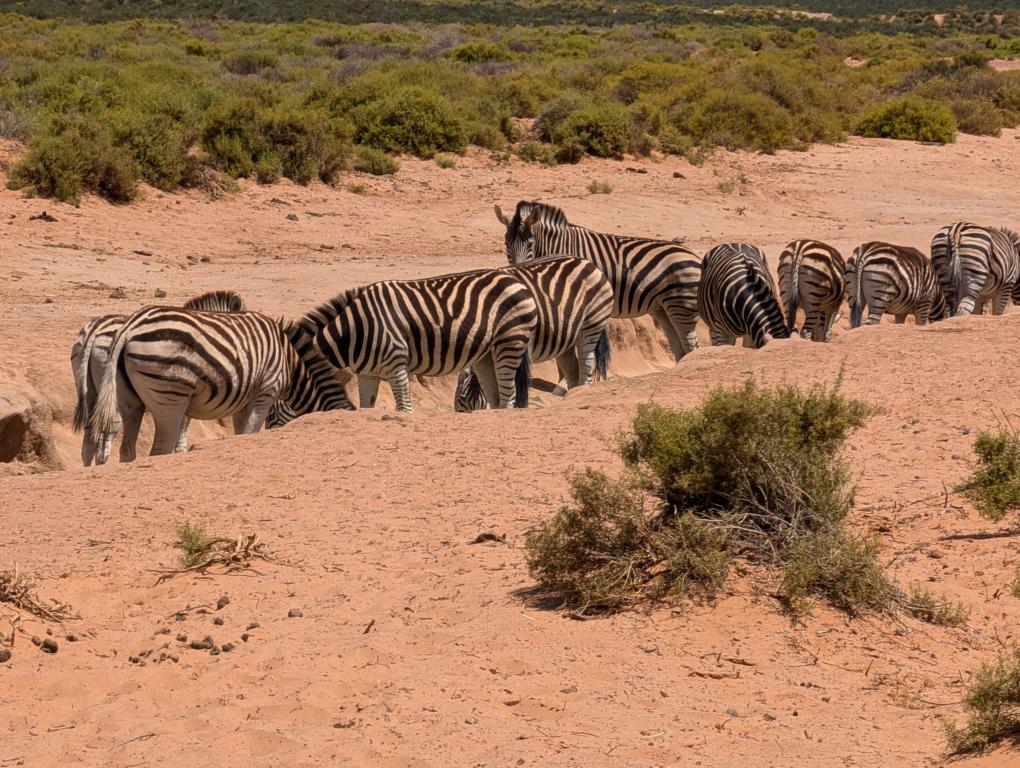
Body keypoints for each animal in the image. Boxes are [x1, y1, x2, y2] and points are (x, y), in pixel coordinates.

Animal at [88, 305, 354, 463]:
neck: (291, 363)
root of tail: (128, 327)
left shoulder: (244, 401)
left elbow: (241, 433)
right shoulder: (265, 394)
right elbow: (250, 432)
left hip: (129, 399)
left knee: (127, 448)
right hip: (170, 397)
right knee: (160, 449)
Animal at [301, 268, 538, 413]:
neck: (357, 329)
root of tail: (516, 280)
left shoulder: (396, 363)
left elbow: (404, 408)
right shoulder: (367, 374)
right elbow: (366, 407)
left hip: (510, 341)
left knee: (508, 397)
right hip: (486, 355)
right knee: (496, 397)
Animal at [495, 201, 701, 360]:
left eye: (530, 244)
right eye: (506, 244)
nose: (517, 269)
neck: (560, 245)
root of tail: (696, 257)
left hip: (681, 306)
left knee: (693, 345)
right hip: (663, 308)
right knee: (680, 347)